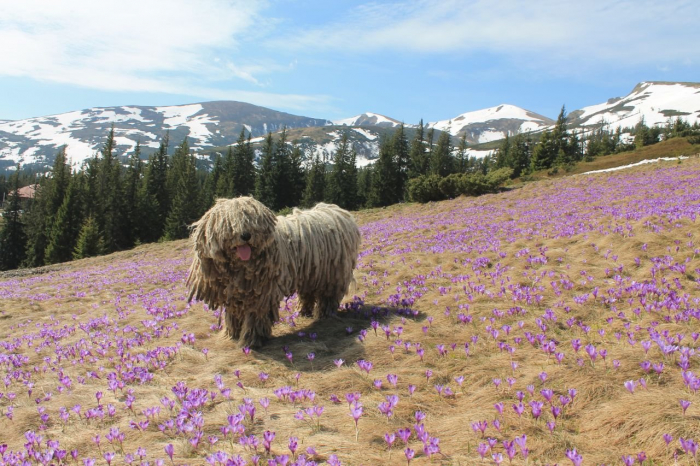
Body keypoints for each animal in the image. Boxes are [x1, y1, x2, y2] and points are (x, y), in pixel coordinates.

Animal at [186, 196, 360, 346]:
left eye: (253, 222)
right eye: (230, 224)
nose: (246, 235)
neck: (240, 268)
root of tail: (335, 211)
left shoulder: (261, 295)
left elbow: (255, 317)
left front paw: (251, 340)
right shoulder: (232, 295)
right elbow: (233, 314)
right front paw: (232, 335)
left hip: (332, 273)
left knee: (328, 296)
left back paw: (324, 314)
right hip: (311, 273)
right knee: (308, 293)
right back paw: (303, 312)